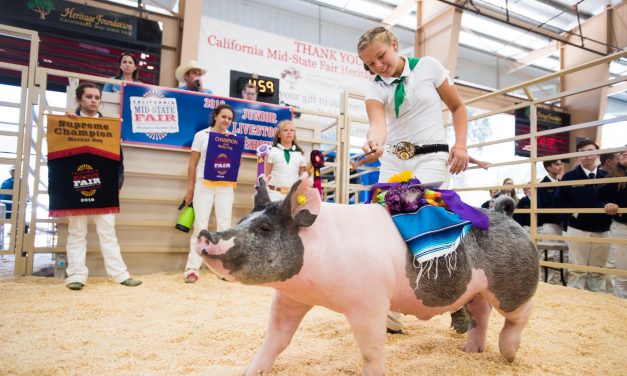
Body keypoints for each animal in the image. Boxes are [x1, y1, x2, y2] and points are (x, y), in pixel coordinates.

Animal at [197, 175, 540, 374]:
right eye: (242, 220)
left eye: (265, 228)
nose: (205, 235)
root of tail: (507, 215)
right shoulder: (290, 299)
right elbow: (275, 341)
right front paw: (249, 372)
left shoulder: (370, 303)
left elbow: (372, 352)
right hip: (474, 288)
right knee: (480, 313)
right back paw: (469, 352)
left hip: (513, 283)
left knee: (519, 315)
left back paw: (509, 356)